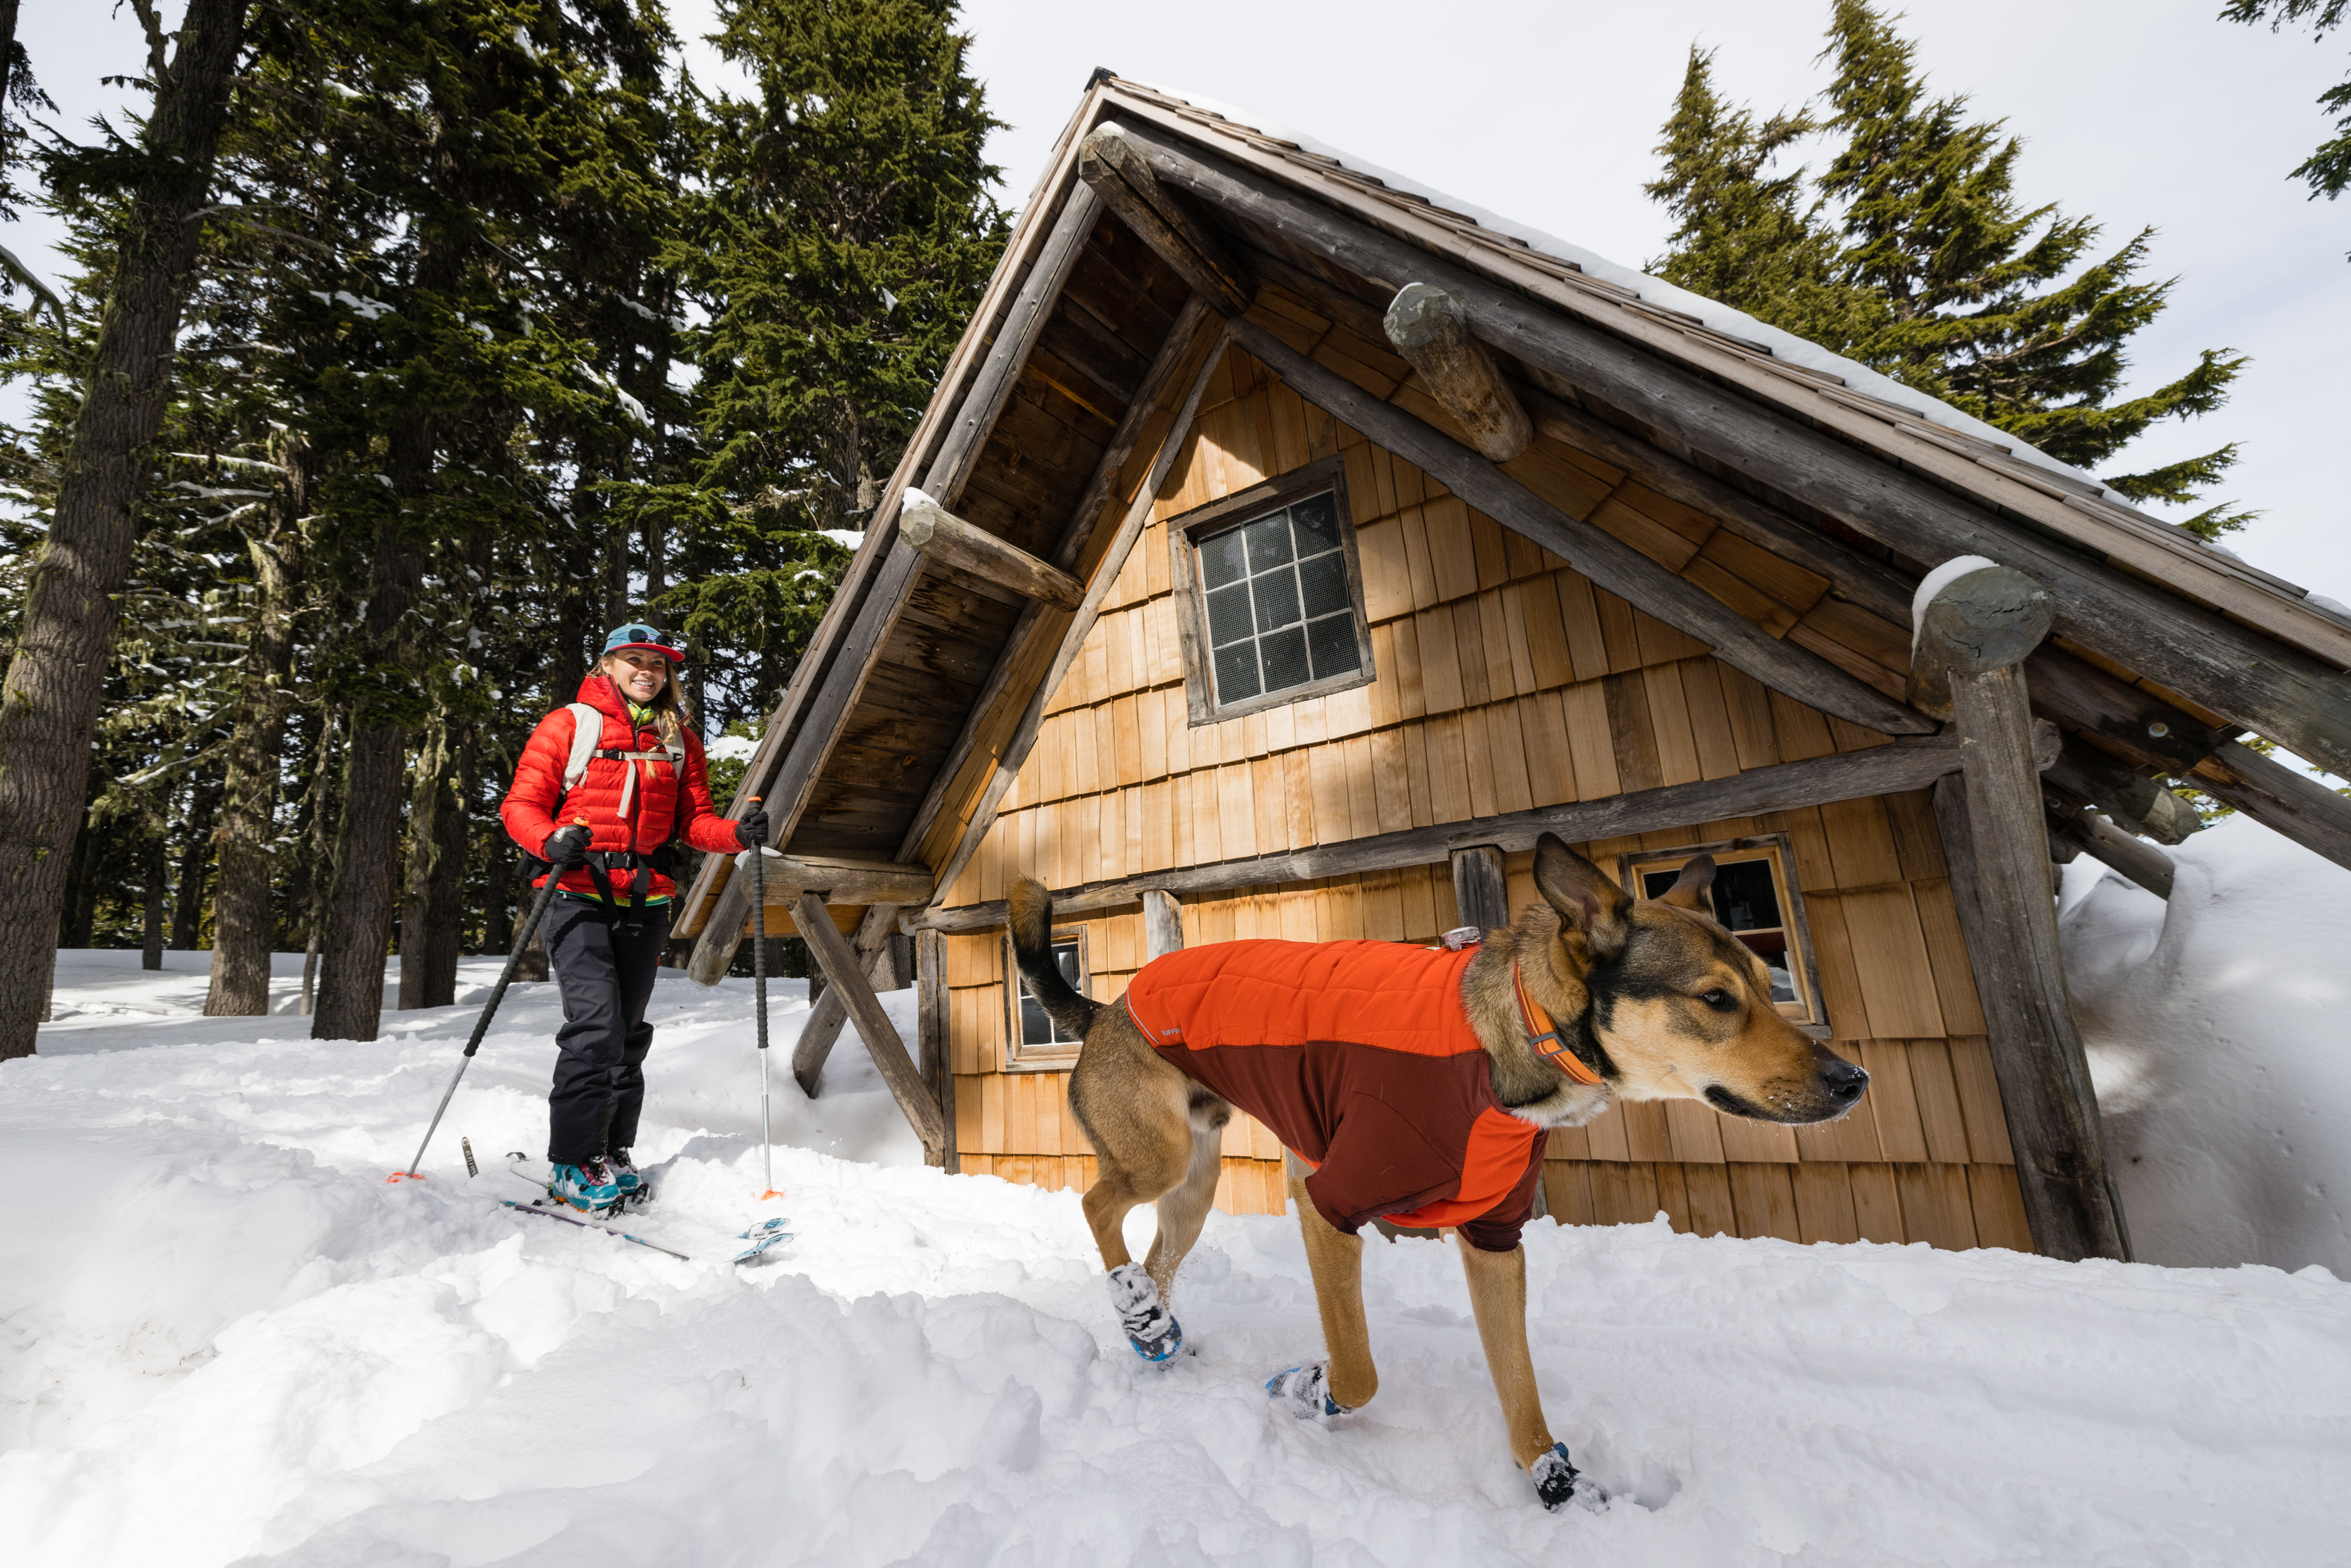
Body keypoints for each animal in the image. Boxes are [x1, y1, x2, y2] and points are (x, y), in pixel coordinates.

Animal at [1011, 832, 1871, 1504]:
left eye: (1763, 982)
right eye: (1716, 999)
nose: (1853, 1081)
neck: (1521, 1031)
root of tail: (1109, 1008)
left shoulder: (1494, 1240)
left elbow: (1519, 1386)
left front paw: (1550, 1480)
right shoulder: (1327, 1203)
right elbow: (1358, 1373)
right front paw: (1307, 1387)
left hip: (1195, 1178)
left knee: (1159, 1253)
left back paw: (1154, 1330)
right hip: (1159, 1155)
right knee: (1097, 1206)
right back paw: (1134, 1305)